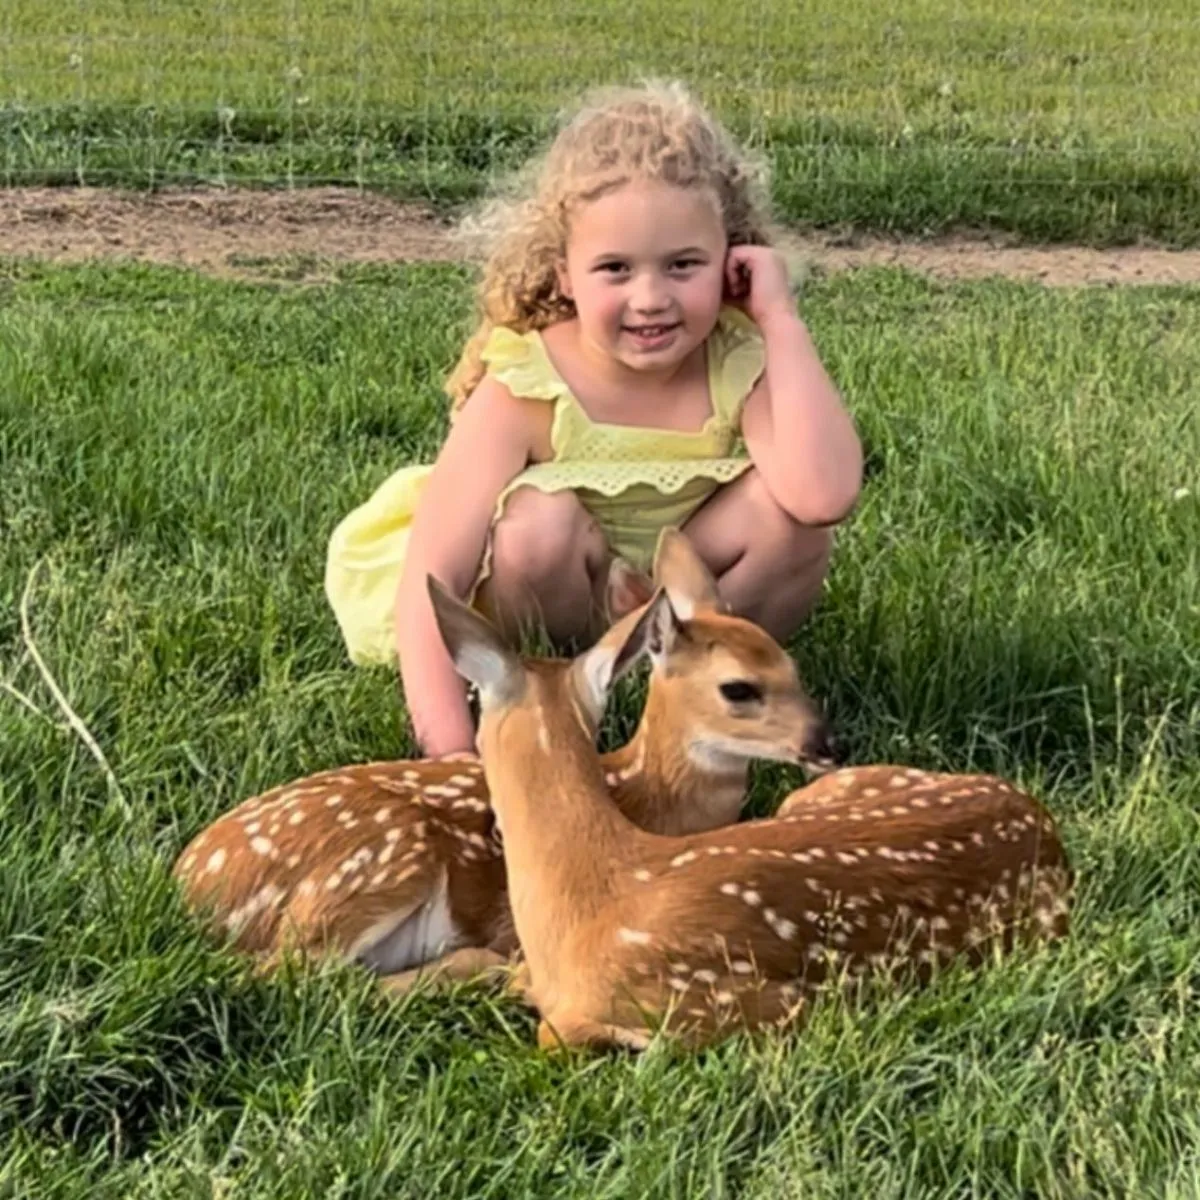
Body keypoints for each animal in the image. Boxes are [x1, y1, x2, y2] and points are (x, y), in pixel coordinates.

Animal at [172, 528, 839, 996]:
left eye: (791, 666)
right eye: (738, 689)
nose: (827, 743)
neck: (642, 798)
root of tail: (187, 887)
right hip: (387, 851)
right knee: (292, 973)